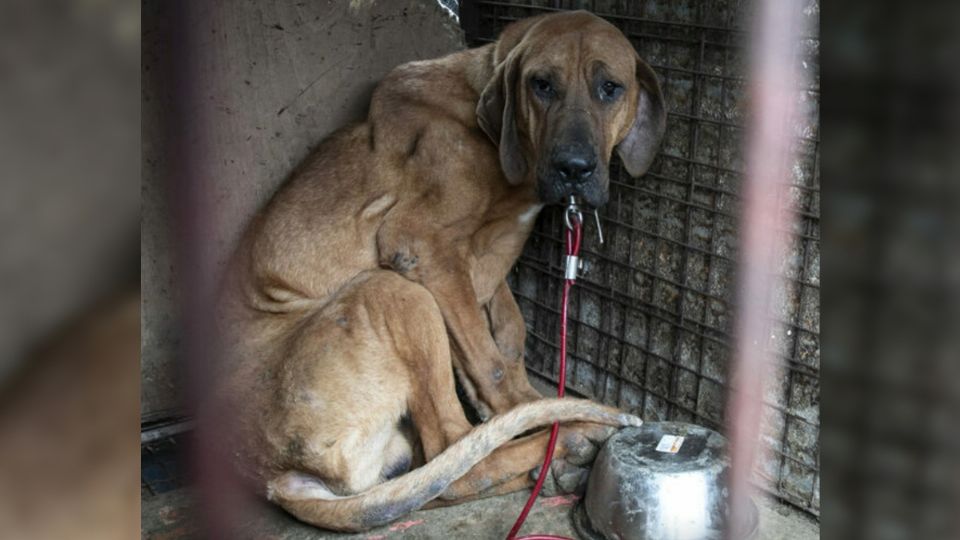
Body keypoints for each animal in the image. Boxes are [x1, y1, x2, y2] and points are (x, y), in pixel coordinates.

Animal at [218, 10, 664, 532]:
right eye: (542, 85)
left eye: (610, 88)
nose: (574, 168)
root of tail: (271, 478)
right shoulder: (421, 247)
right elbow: (490, 362)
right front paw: (531, 410)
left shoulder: (485, 260)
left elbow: (507, 332)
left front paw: (523, 398)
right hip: (391, 292)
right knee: (454, 453)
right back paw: (572, 435)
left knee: (431, 480)